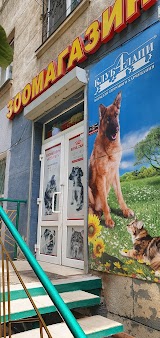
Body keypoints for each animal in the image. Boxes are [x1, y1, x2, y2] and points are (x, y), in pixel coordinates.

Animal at [89, 93, 134, 227]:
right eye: (108, 119)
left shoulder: (115, 173)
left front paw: (125, 210)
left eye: (116, 115)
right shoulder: (101, 176)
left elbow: (119, 194)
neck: (109, 149)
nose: (116, 129)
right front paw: (109, 220)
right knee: (94, 208)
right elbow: (104, 200)